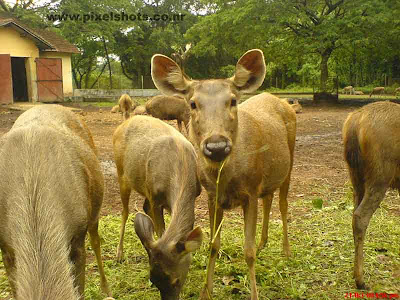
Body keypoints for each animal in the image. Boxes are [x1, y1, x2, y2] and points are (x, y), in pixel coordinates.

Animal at [112, 113, 203, 298]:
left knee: (143, 208)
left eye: (176, 281)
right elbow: (161, 230)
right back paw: (119, 254)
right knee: (125, 212)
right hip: (122, 173)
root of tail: (121, 125)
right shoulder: (155, 198)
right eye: (153, 281)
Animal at [152, 49, 296, 300]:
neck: (228, 179)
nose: (217, 146)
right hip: (268, 177)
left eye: (233, 100)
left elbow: (248, 251)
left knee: (283, 204)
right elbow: (213, 244)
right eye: (193, 103)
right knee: (268, 198)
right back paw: (263, 242)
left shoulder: (250, 191)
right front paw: (206, 291)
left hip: (290, 163)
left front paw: (255, 294)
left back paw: (286, 250)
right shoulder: (212, 196)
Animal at [342, 101, 400, 290]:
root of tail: (354, 123)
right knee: (361, 216)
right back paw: (360, 280)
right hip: (380, 174)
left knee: (354, 213)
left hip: (356, 176)